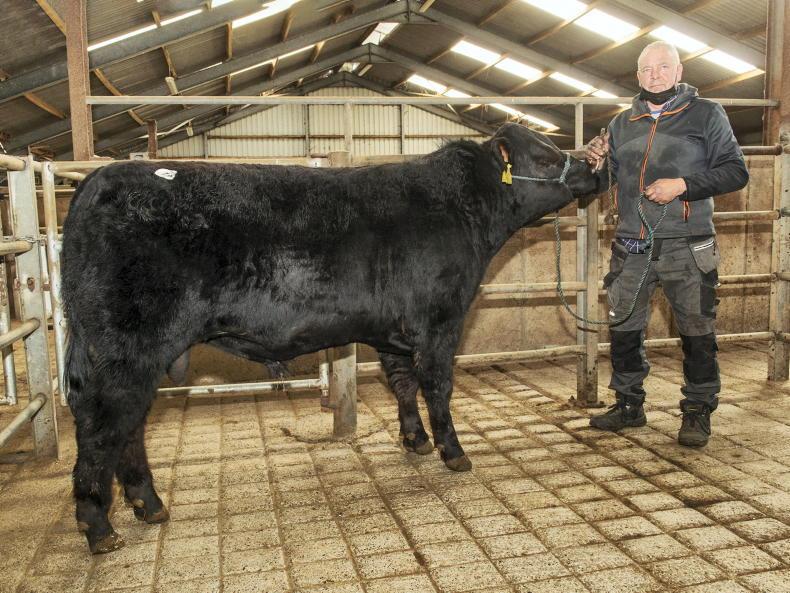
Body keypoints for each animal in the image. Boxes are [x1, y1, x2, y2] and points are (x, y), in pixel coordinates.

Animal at [61, 122, 599, 553]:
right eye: (546, 156)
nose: (593, 169)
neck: (463, 211)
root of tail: (101, 179)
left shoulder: (393, 332)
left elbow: (402, 383)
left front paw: (416, 441)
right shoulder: (440, 322)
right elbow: (438, 387)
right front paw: (453, 452)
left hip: (137, 354)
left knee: (129, 424)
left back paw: (148, 504)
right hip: (131, 346)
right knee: (103, 424)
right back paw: (99, 526)